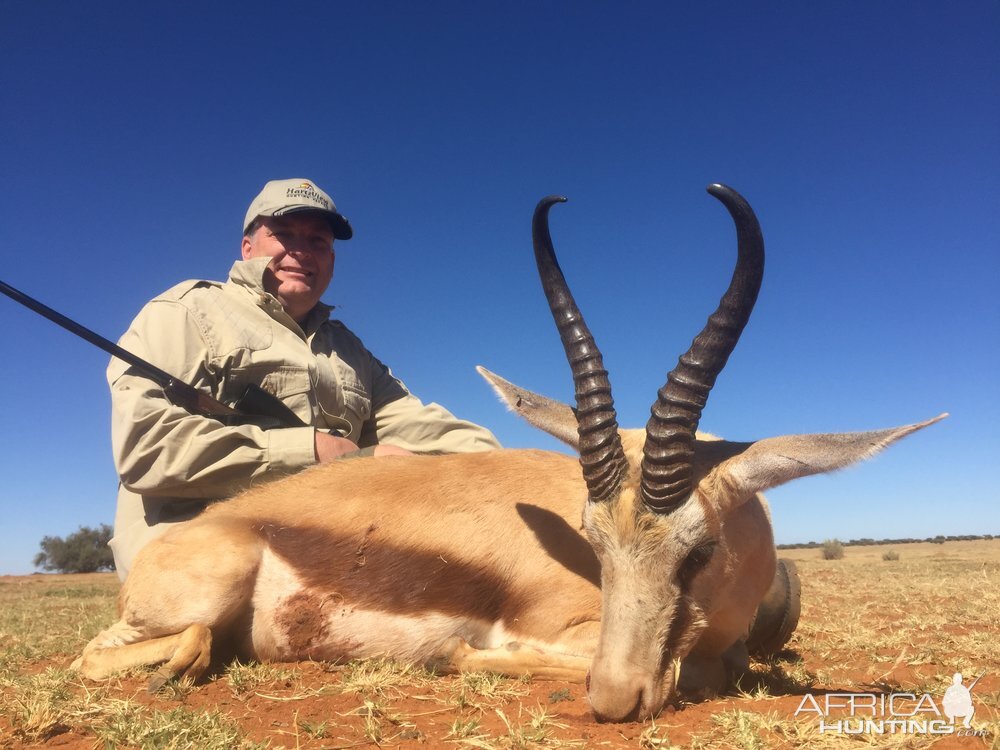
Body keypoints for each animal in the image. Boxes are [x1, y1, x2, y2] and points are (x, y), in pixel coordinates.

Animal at [74, 184, 940, 724]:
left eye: (700, 549)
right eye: (590, 543)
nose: (614, 701)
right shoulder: (568, 633)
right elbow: (689, 669)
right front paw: (465, 657)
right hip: (194, 598)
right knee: (113, 653)